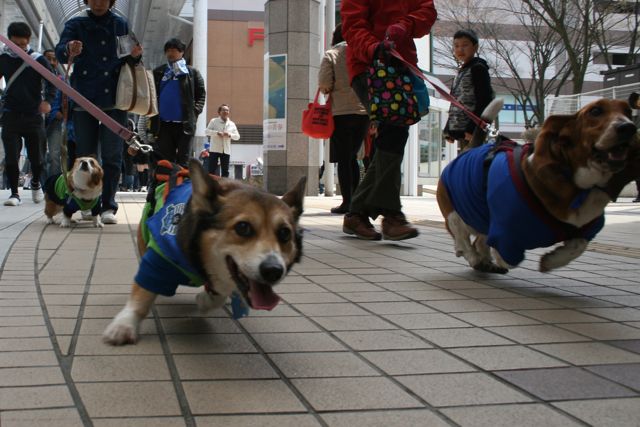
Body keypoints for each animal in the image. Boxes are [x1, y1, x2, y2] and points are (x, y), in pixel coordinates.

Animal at [103, 162, 308, 346]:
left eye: (285, 233)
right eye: (243, 227)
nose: (273, 271)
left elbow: (218, 295)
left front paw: (205, 301)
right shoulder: (158, 260)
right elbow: (141, 296)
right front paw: (124, 325)